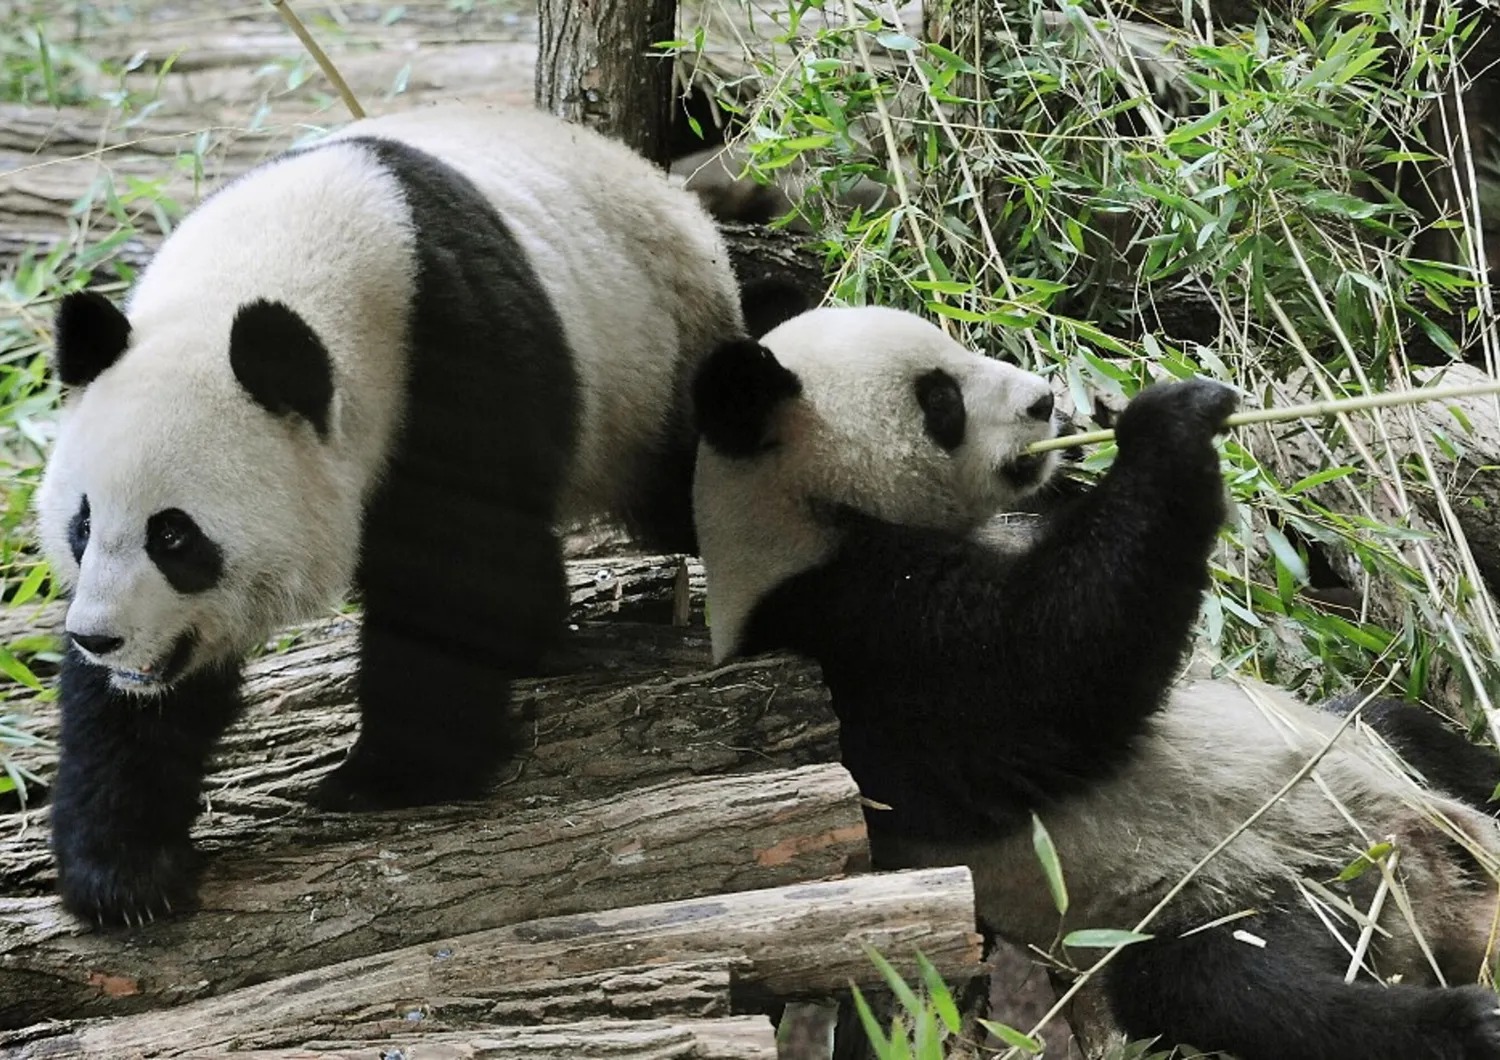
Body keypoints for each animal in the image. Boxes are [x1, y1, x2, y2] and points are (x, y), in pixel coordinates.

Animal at [35, 104, 746, 926]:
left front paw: (390, 778)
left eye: (175, 535)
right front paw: (125, 871)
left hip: (656, 360)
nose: (100, 638)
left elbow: (454, 570)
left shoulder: (451, 351)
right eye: (83, 526)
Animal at [690, 305, 1500, 1060]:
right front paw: (1169, 423)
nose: (1046, 400)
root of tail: (1427, 896)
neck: (801, 517)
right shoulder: (850, 642)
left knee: (1408, 730)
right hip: (1232, 890)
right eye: (940, 399)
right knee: (1230, 986)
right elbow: (1045, 675)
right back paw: (1464, 1020)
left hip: (1367, 764)